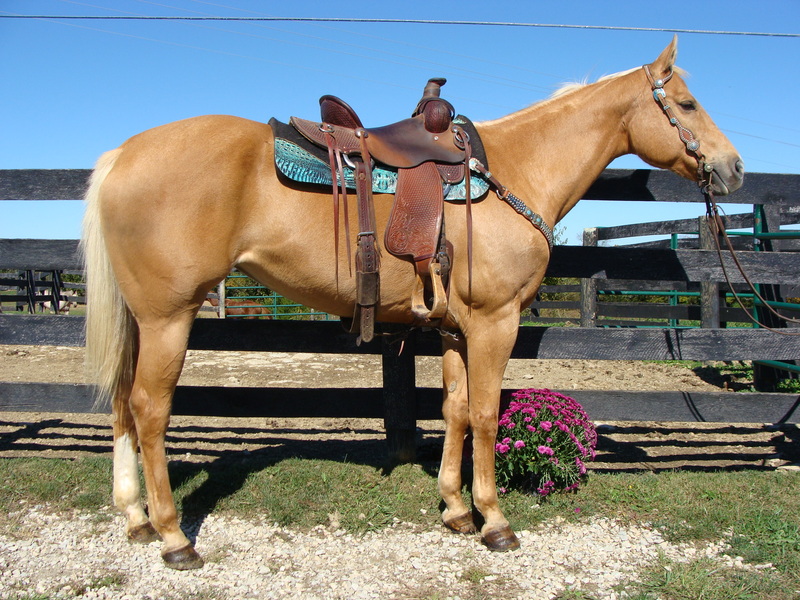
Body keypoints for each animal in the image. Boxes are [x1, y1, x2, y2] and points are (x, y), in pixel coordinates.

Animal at [83, 37, 744, 568]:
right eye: (686, 105)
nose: (733, 168)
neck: (513, 170)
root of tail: (121, 155)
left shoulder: (455, 328)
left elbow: (454, 409)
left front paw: (455, 510)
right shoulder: (495, 323)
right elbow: (485, 414)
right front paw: (494, 521)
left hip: (141, 320)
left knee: (120, 401)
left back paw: (137, 520)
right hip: (169, 319)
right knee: (148, 409)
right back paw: (174, 537)